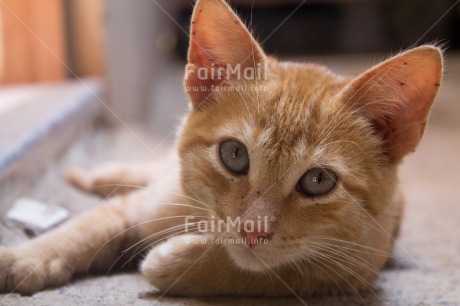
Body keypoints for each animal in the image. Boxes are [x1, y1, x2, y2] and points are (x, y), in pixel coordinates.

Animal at [0, 0, 442, 298]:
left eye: (319, 180)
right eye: (234, 155)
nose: (253, 230)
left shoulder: (358, 265)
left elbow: (276, 272)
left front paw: (173, 263)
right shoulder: (143, 206)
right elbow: (86, 227)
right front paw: (29, 255)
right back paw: (100, 175)